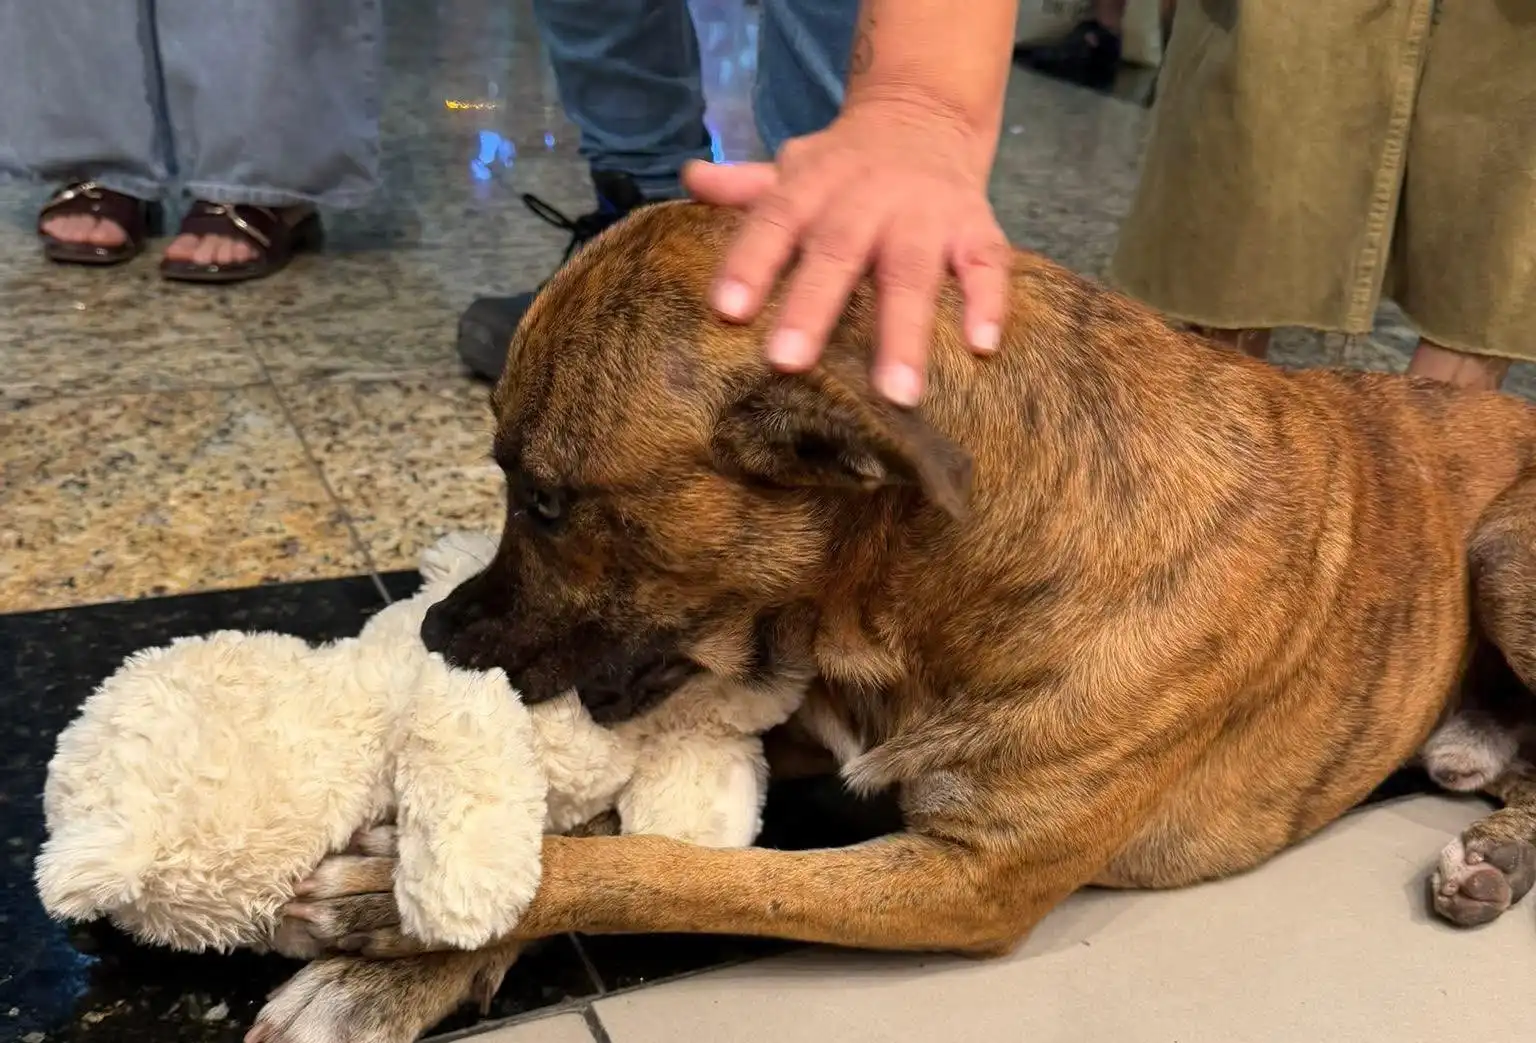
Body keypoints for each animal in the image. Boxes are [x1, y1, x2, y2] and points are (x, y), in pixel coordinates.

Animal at [250, 201, 1536, 1043]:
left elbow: (675, 870)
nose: (434, 632)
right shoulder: (804, 723)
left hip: (1506, 553)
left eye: (549, 500)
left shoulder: (966, 880)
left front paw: (403, 911)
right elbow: (611, 831)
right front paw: (407, 966)